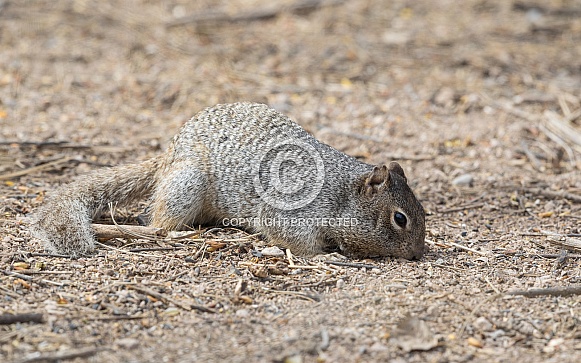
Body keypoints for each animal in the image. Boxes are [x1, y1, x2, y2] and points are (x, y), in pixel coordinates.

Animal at [29, 103, 424, 258]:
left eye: (422, 211)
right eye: (399, 219)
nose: (418, 254)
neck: (341, 192)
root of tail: (168, 156)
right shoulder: (290, 210)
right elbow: (294, 240)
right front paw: (324, 256)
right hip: (186, 187)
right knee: (157, 223)